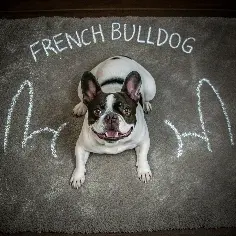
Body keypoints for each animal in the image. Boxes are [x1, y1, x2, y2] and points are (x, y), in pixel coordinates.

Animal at [70, 55, 157, 188]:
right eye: (97, 111)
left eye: (126, 110)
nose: (111, 117)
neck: (113, 143)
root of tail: (120, 56)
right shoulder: (81, 146)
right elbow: (79, 162)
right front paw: (78, 176)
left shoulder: (144, 140)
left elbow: (143, 156)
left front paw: (144, 170)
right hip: (80, 87)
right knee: (82, 99)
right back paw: (80, 107)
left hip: (151, 88)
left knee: (147, 97)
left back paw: (146, 104)